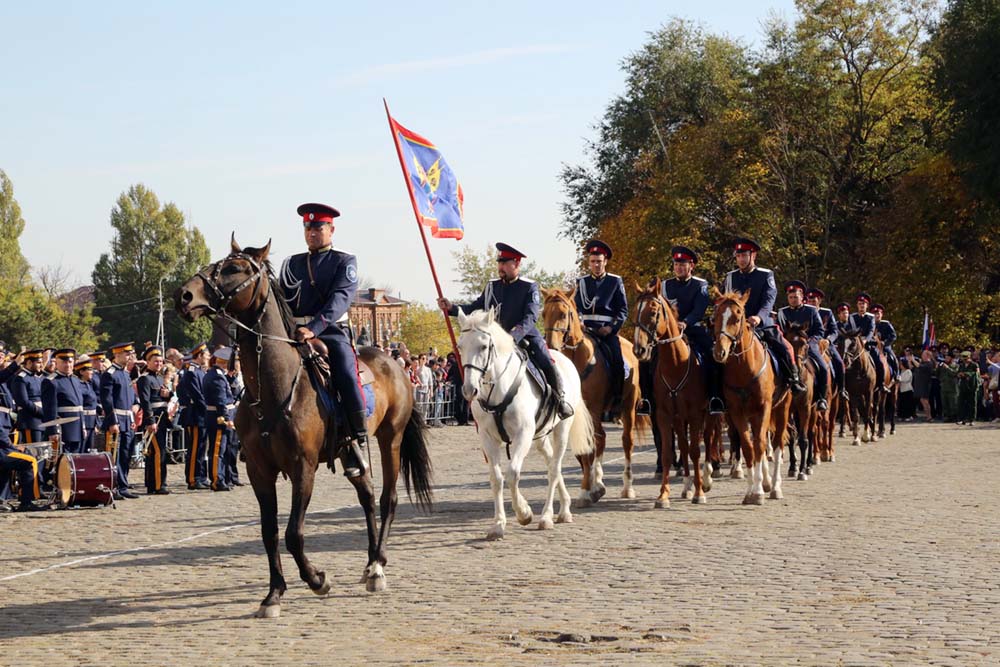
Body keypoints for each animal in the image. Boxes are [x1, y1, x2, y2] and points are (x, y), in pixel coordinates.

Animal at [177, 240, 434, 620]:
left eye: (235, 268)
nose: (184, 295)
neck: (275, 389)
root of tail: (395, 363)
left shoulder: (303, 468)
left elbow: (293, 533)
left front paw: (316, 580)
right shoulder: (259, 471)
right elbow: (269, 532)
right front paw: (273, 594)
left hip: (391, 438)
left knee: (388, 498)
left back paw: (377, 568)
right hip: (349, 450)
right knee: (367, 495)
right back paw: (370, 562)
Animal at [458, 310, 596, 544]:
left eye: (484, 346)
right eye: (460, 346)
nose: (470, 390)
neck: (498, 390)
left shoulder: (523, 434)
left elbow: (513, 473)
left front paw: (524, 513)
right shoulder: (487, 438)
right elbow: (496, 479)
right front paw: (498, 525)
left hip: (561, 429)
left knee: (554, 469)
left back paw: (548, 516)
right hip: (540, 436)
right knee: (551, 463)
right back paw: (564, 509)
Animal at [544, 288, 644, 506]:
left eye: (563, 314)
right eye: (544, 313)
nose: (551, 346)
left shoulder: (594, 409)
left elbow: (590, 446)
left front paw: (587, 489)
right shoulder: (576, 413)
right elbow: (584, 450)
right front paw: (589, 487)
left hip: (627, 407)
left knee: (626, 441)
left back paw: (627, 487)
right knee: (601, 440)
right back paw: (597, 481)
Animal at [632, 280, 712, 506]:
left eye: (653, 312)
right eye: (634, 312)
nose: (639, 350)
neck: (677, 363)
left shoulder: (695, 414)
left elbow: (695, 451)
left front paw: (699, 492)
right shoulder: (664, 415)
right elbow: (669, 451)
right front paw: (663, 495)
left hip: (709, 414)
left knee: (708, 441)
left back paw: (707, 478)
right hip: (678, 418)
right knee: (683, 446)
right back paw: (686, 486)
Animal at [716, 290, 792, 504]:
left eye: (737, 316)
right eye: (715, 316)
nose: (720, 352)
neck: (744, 367)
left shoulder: (764, 408)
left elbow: (760, 444)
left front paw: (758, 491)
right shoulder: (737, 412)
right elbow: (748, 446)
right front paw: (751, 490)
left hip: (782, 408)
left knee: (776, 443)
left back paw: (775, 487)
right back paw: (766, 482)